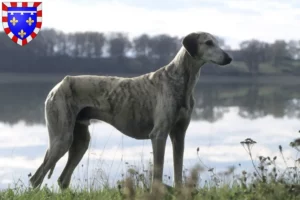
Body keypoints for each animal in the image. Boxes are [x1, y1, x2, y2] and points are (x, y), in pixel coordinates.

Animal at [29, 30, 232, 189]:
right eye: (208, 42)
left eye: (216, 41)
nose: (229, 58)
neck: (181, 80)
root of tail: (58, 86)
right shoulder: (158, 135)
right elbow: (157, 174)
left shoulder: (178, 135)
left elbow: (178, 172)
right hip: (62, 139)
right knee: (36, 178)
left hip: (80, 141)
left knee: (62, 179)